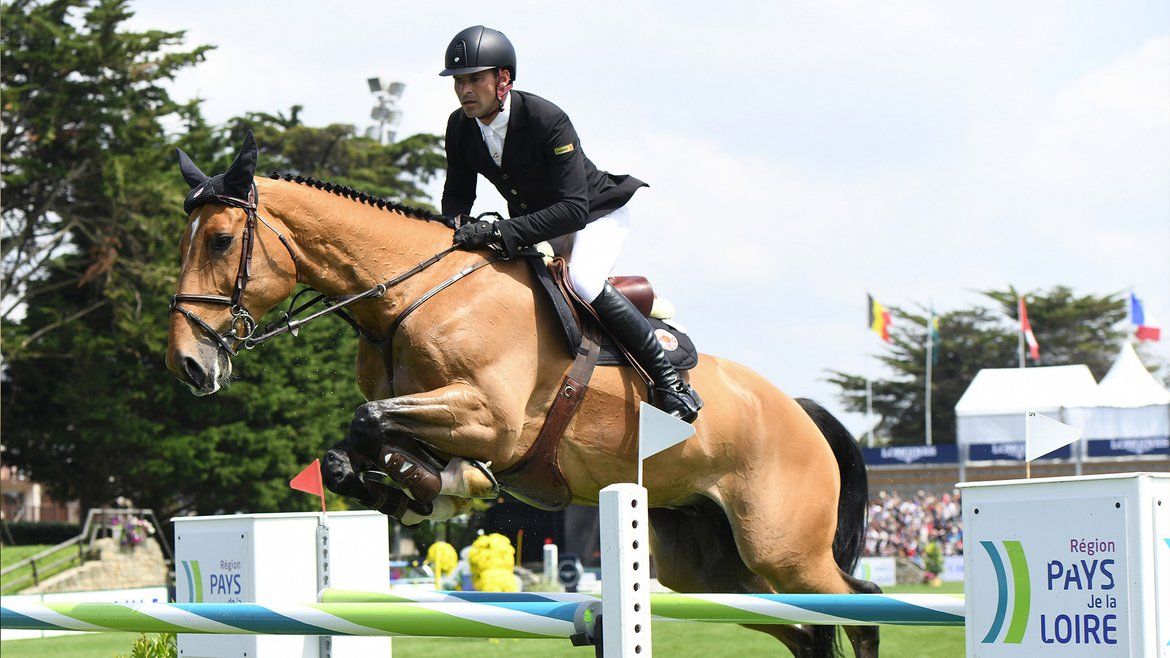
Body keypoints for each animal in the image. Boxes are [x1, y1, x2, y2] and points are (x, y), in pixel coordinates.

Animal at [164, 134, 879, 655]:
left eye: (221, 241)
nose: (187, 364)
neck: (409, 298)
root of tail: (801, 413)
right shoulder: (442, 418)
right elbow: (355, 446)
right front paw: (428, 490)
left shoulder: (493, 420)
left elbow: (368, 421)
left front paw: (441, 487)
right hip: (707, 570)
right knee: (808, 629)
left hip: (782, 548)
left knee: (861, 602)